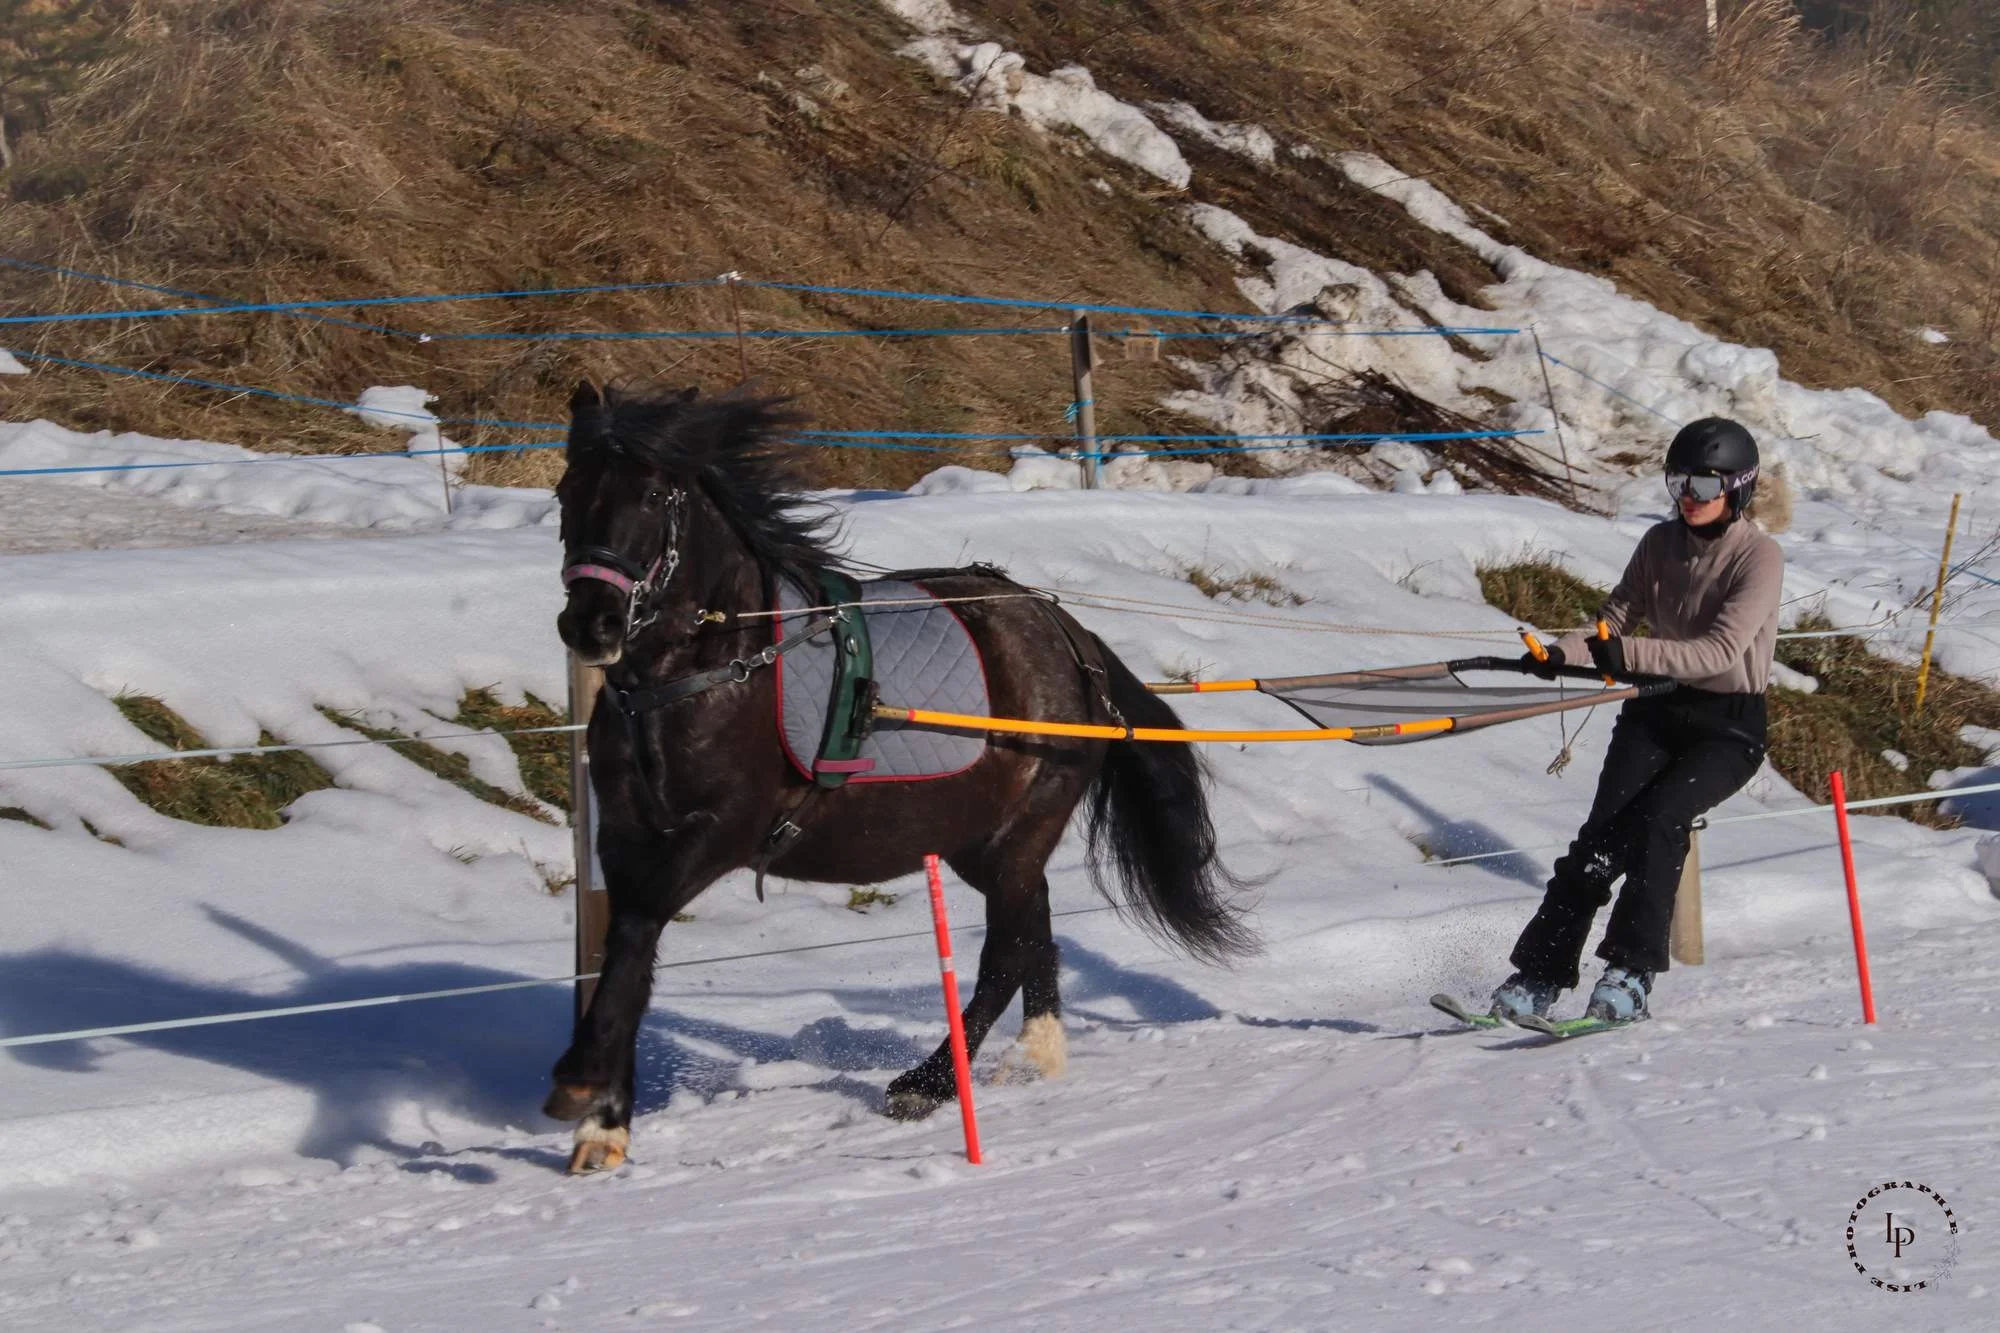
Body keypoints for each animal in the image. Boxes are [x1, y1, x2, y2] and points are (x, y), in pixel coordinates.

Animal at [544, 382, 1252, 1173]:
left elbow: (637, 932)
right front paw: (605, 1123)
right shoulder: (625, 838)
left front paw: (580, 1083)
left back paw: (928, 1081)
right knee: (1033, 929)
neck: (714, 671)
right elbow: (627, 957)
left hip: (1018, 832)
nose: (591, 624)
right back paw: (1034, 1054)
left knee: (1006, 952)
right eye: (569, 489)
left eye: (654, 495)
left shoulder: (718, 834)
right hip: (985, 843)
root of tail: (1069, 636)